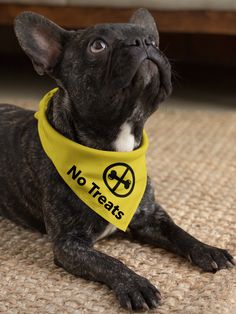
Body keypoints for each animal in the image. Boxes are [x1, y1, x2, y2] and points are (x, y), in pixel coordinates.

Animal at [0, 7, 234, 312]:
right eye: (97, 46)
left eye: (153, 40)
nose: (143, 42)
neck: (112, 148)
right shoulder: (69, 244)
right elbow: (109, 262)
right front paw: (135, 284)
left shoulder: (150, 217)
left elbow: (179, 232)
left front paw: (208, 249)